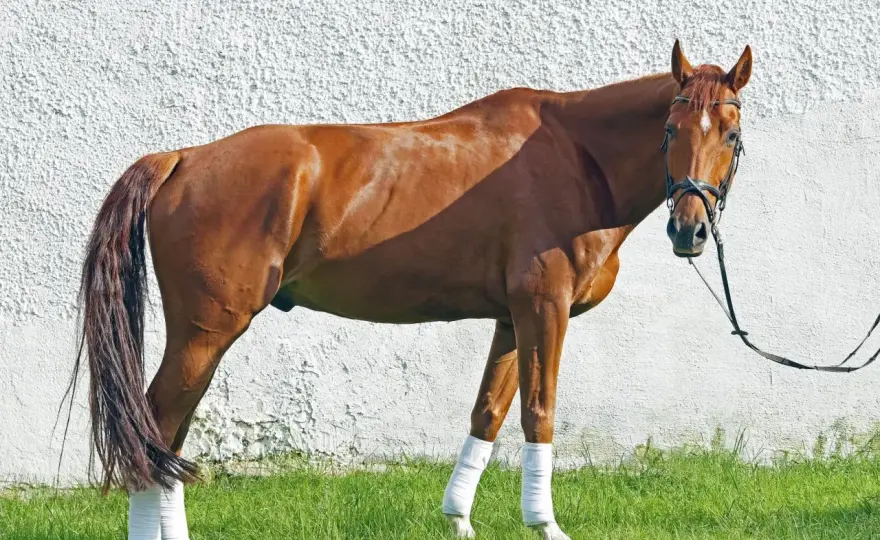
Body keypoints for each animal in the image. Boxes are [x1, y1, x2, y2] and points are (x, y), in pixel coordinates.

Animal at [69, 39, 752, 539]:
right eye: (670, 129)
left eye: (730, 134)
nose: (689, 230)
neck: (576, 157)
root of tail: (183, 157)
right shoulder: (545, 309)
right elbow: (539, 411)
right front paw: (545, 525)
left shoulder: (512, 318)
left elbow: (489, 411)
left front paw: (458, 520)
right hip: (206, 334)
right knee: (155, 432)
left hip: (201, 341)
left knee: (165, 442)